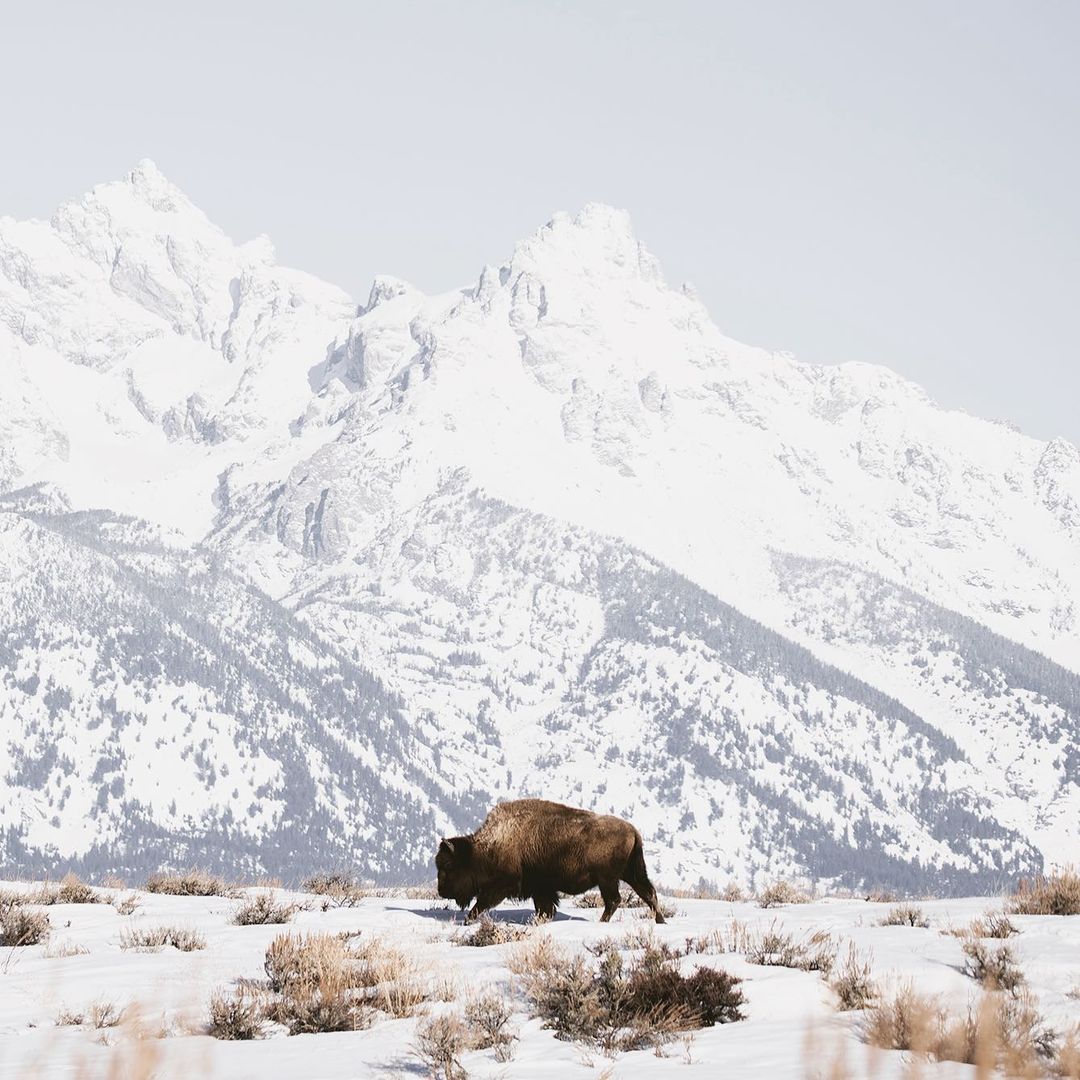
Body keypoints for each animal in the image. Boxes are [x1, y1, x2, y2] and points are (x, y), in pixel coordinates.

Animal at [434, 799, 660, 924]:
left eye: (448, 865)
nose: (441, 890)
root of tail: (632, 830)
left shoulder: (504, 884)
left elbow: (481, 903)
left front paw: (467, 921)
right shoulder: (541, 889)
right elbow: (545, 908)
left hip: (608, 879)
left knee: (614, 900)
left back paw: (602, 922)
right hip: (631, 873)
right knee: (648, 893)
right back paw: (661, 921)